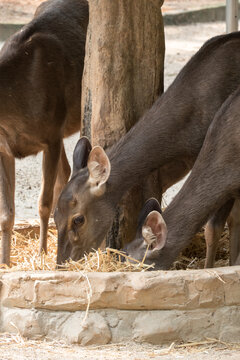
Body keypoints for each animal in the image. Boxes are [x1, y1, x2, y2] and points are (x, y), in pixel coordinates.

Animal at [0, 0, 88, 264]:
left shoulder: (51, 136)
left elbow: (44, 203)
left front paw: (41, 253)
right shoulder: (3, 147)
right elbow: (7, 212)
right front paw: (5, 261)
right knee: (66, 172)